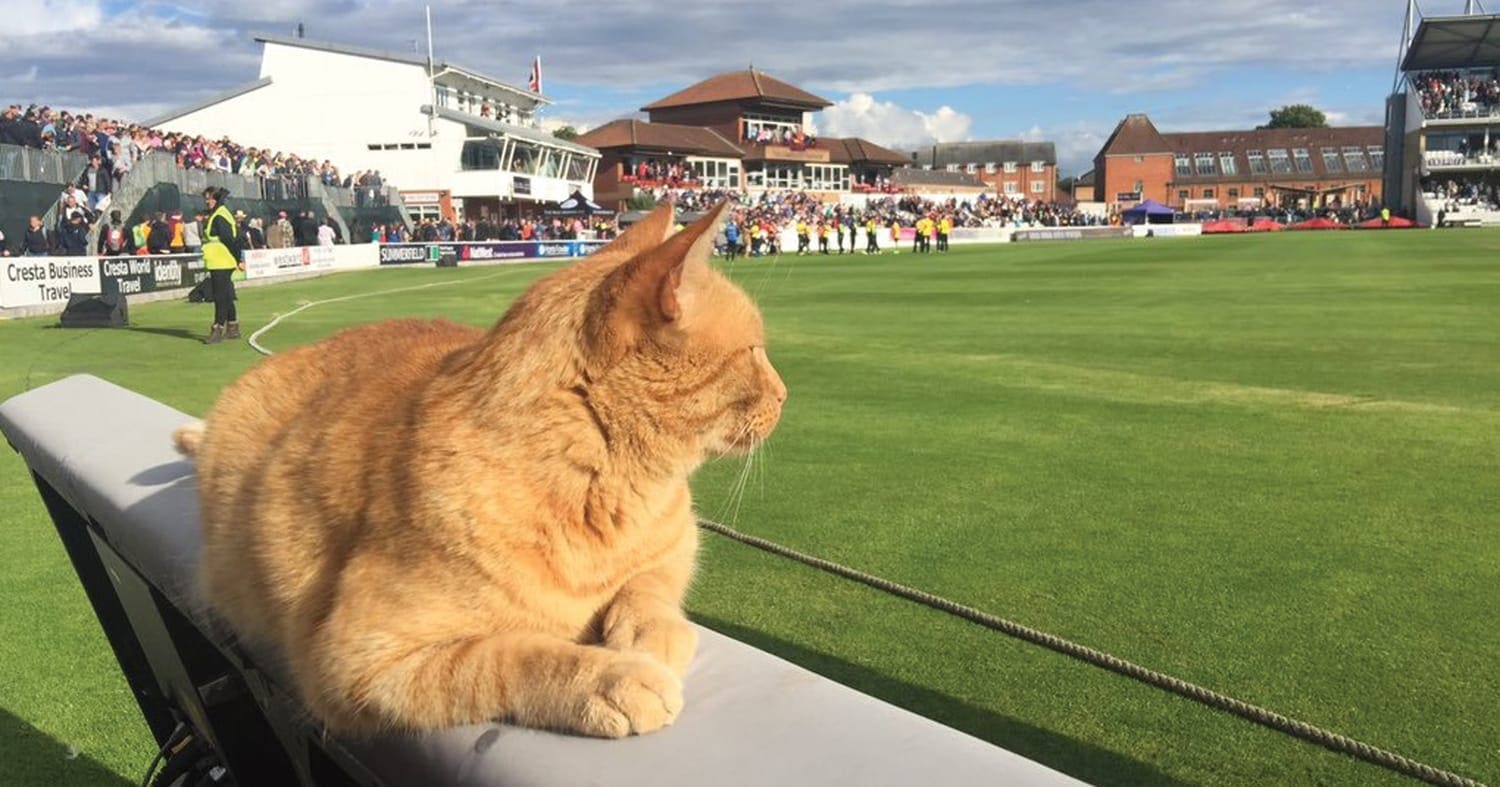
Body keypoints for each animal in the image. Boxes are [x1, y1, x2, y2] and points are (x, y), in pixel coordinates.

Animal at [172, 201, 786, 738]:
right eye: (755, 351)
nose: (784, 394)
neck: (602, 490)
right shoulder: (354, 659)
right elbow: (511, 656)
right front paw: (609, 678)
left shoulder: (677, 541)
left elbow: (650, 589)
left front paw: (649, 633)